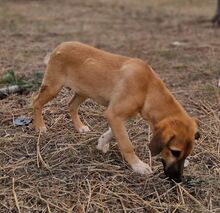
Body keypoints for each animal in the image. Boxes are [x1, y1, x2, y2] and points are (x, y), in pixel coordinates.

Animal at [32, 41, 199, 181]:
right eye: (174, 152)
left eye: (186, 154)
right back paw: (39, 126)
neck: (148, 88)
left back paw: (79, 127)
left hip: (83, 92)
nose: (178, 179)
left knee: (71, 105)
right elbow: (126, 143)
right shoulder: (114, 114)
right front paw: (138, 165)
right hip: (53, 87)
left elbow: (112, 132)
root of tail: (60, 46)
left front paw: (102, 143)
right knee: (36, 102)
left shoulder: (117, 115)